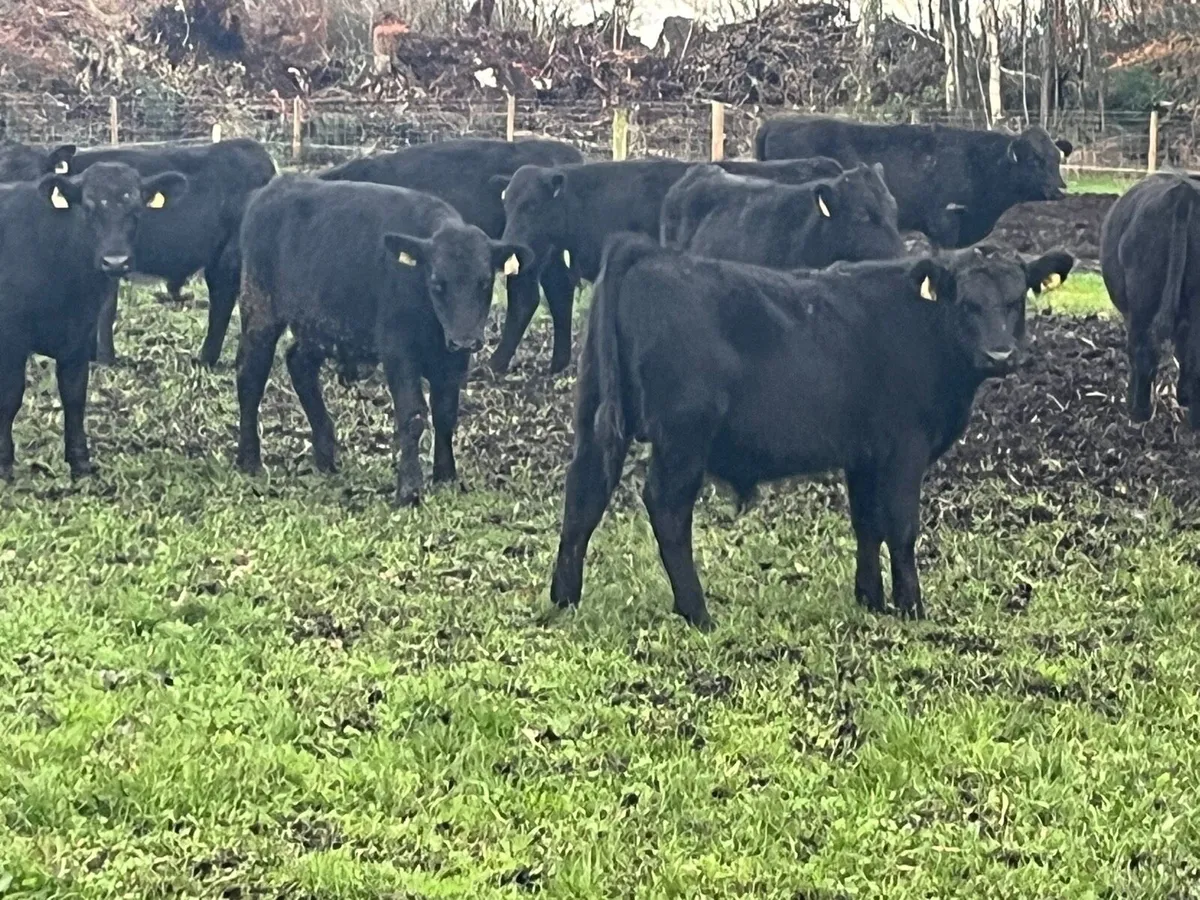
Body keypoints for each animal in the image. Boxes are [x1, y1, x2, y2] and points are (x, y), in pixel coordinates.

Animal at [0, 163, 188, 482]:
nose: (115, 261)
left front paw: (80, 463)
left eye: (136, 209)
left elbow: (74, 395)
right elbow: (10, 396)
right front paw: (3, 462)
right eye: (88, 208)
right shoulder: (11, 339)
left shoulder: (78, 335)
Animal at [62, 138, 276, 366]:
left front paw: (103, 360)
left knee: (225, 297)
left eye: (136, 209)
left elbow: (104, 308)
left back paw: (208, 359)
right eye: (88, 207)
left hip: (229, 254)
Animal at [235, 175, 532, 506]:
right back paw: (249, 459)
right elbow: (413, 415)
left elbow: (445, 413)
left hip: (318, 324)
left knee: (299, 364)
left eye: (485, 282)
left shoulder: (453, 360)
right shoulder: (398, 352)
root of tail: (275, 187)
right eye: (437, 282)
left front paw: (446, 475)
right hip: (259, 307)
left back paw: (325, 455)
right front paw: (409, 489)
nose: (465, 339)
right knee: (251, 375)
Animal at [550, 234, 1074, 629]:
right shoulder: (905, 449)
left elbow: (867, 523)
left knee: (583, 498)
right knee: (667, 508)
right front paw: (911, 606)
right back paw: (697, 612)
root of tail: (647, 252)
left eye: (1015, 301)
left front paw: (870, 598)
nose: (1000, 354)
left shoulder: (865, 454)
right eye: (967, 303)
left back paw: (563, 599)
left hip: (595, 420)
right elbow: (901, 526)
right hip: (684, 436)